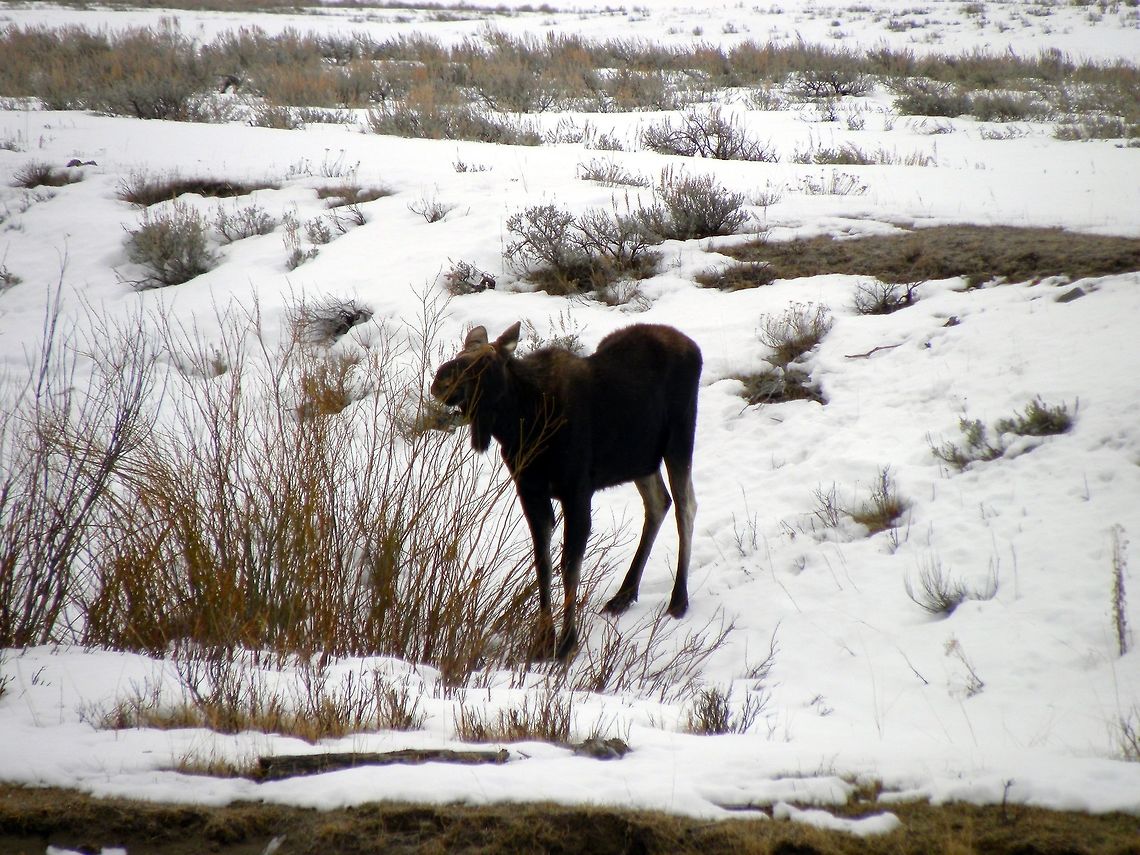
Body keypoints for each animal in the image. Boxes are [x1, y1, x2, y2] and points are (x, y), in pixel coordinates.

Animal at [430, 321, 702, 662]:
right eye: (461, 353)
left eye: (484, 362)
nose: (440, 381)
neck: (521, 423)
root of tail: (693, 347)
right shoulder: (530, 491)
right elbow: (543, 562)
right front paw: (544, 641)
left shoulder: (576, 491)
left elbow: (569, 564)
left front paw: (568, 642)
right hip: (640, 459)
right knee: (658, 502)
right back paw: (624, 595)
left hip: (679, 439)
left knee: (685, 506)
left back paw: (679, 599)